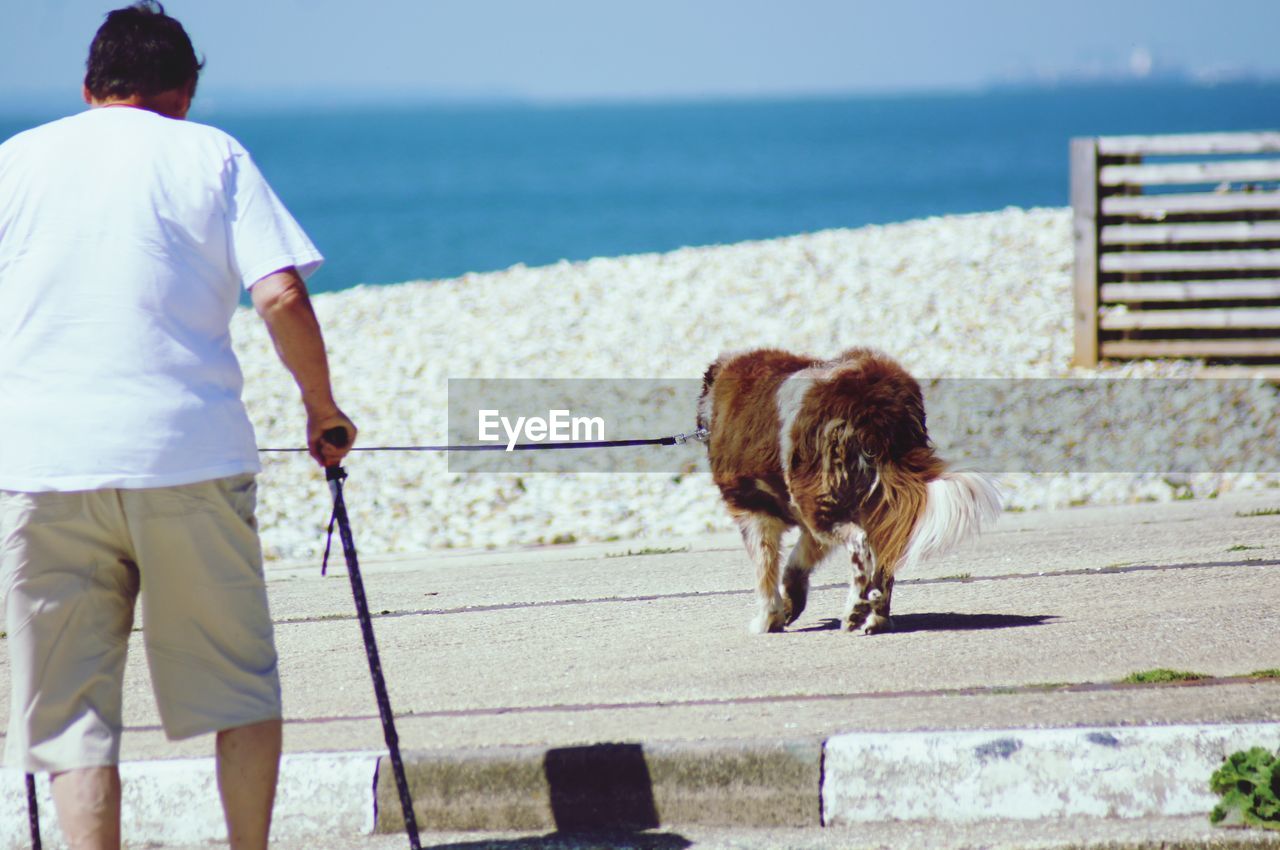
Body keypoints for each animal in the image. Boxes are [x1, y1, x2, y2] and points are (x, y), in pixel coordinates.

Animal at [701, 345, 998, 629]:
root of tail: (877, 407)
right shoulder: (806, 526)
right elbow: (796, 564)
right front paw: (790, 604)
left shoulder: (753, 512)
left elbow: (765, 571)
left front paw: (767, 620)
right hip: (871, 505)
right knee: (883, 561)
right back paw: (876, 618)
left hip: (821, 500)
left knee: (860, 546)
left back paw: (855, 610)